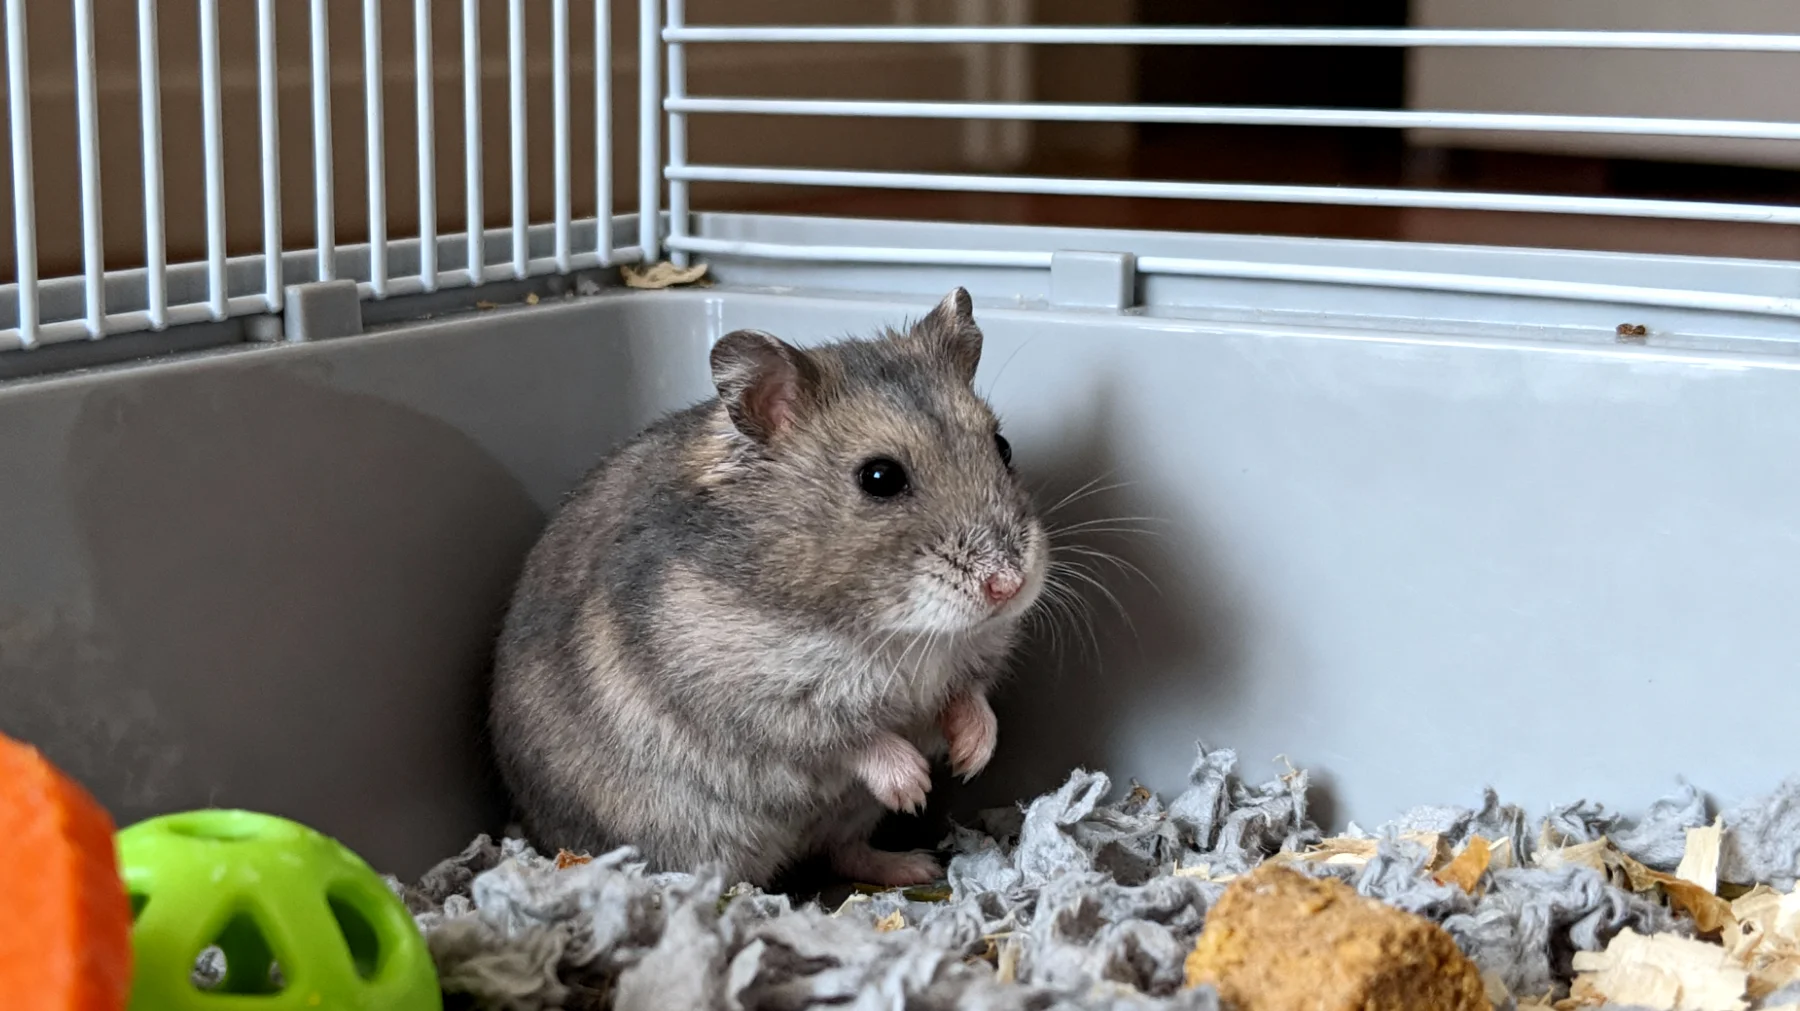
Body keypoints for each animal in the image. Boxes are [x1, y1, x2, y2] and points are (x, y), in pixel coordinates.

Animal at [488, 288, 1048, 888]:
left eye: (1003, 446)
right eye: (880, 478)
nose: (1008, 585)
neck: (899, 629)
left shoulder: (973, 660)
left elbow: (969, 698)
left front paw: (971, 758)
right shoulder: (760, 700)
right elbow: (854, 739)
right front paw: (915, 786)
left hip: (847, 817)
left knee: (844, 851)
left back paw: (915, 866)